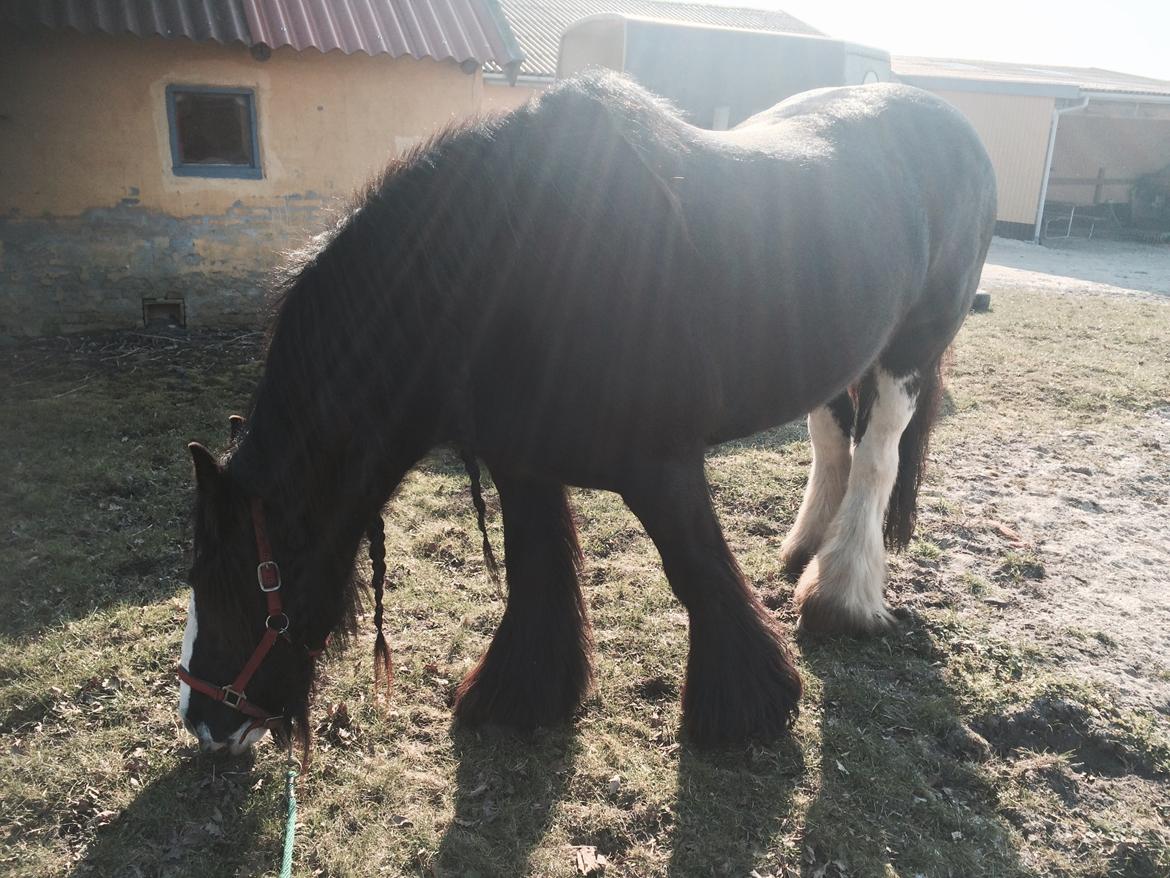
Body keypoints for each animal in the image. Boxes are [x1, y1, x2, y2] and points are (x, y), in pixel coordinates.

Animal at [177, 70, 992, 758]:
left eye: (236, 581)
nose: (203, 723)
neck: (503, 271)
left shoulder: (662, 466)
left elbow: (696, 569)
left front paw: (746, 708)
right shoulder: (522, 466)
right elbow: (536, 572)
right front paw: (520, 697)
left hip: (910, 350)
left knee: (878, 454)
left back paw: (841, 594)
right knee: (833, 442)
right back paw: (803, 555)